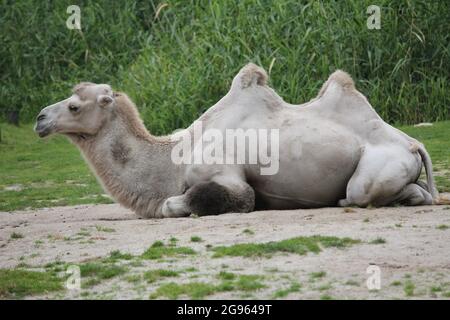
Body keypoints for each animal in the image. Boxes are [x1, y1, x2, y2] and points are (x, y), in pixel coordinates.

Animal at [35, 63, 440, 218]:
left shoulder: (225, 175)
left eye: (73, 106)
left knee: (359, 193)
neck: (176, 156)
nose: (40, 118)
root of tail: (413, 143)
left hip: (374, 172)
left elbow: (192, 201)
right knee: (419, 192)